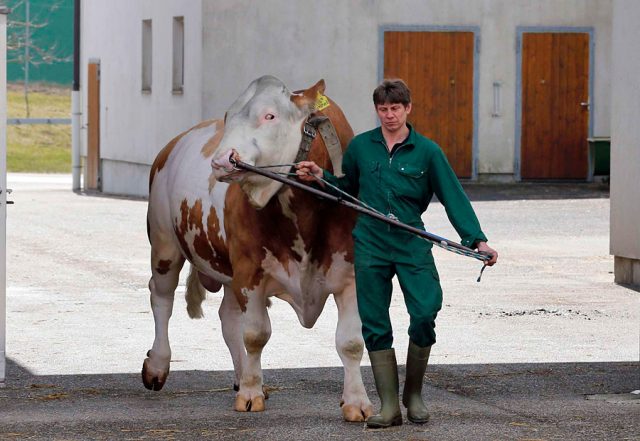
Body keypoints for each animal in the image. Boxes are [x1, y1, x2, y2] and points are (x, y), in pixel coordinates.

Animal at [142, 75, 372, 420]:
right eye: (228, 115)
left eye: (270, 115)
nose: (220, 160)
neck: (304, 216)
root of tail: (174, 143)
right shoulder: (250, 272)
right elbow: (255, 334)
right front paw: (250, 394)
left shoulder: (350, 275)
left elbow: (352, 342)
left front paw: (357, 402)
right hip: (164, 243)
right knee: (162, 298)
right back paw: (158, 365)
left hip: (226, 267)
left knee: (227, 316)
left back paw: (241, 376)